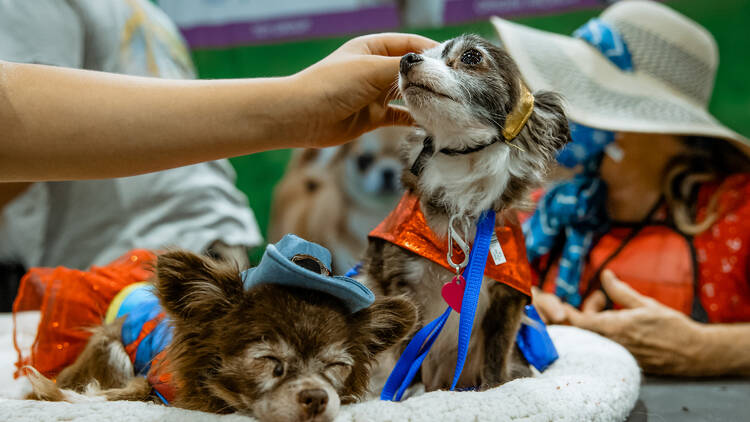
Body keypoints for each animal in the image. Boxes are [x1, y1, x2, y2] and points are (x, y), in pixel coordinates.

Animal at [25, 236, 418, 420]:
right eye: (268, 361)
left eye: (336, 367)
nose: (317, 397)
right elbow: (113, 394)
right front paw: (65, 395)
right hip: (111, 348)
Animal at [360, 35, 568, 392]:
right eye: (426, 54)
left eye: (471, 57)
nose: (406, 59)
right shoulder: (399, 285)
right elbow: (405, 355)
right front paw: (409, 393)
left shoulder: (507, 296)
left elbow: (497, 355)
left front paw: (493, 390)